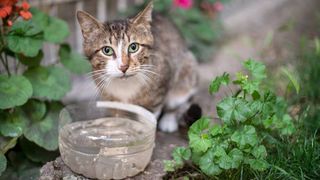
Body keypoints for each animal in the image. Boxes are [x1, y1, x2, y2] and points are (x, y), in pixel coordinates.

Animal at [77, 1, 198, 132]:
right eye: (107, 50)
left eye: (133, 47)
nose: (123, 67)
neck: (125, 86)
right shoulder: (110, 98)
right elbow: (120, 117)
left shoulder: (158, 92)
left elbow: (148, 118)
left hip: (187, 72)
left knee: (176, 102)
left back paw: (169, 121)